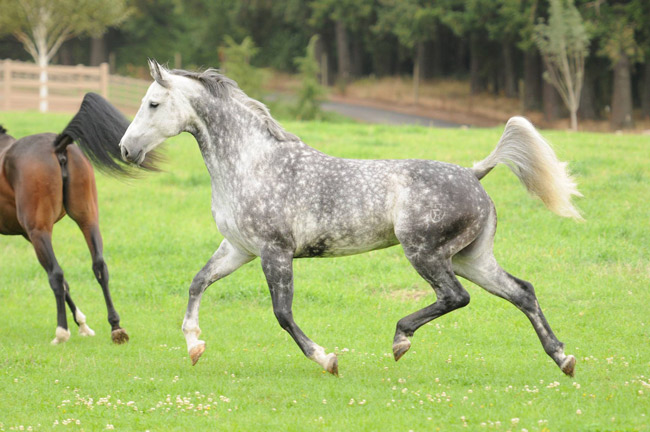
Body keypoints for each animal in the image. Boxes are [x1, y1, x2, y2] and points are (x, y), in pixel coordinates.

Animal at [1, 93, 157, 345]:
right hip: (87, 220)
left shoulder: (32, 233)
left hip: (40, 231)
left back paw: (61, 332)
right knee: (99, 266)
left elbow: (58, 278)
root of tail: (57, 145)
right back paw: (116, 327)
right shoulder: (26, 234)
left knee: (56, 274)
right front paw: (83, 323)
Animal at [119, 60, 582, 376]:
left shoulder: (274, 252)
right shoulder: (238, 248)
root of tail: (473, 173)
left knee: (456, 297)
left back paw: (400, 340)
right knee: (521, 292)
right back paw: (563, 357)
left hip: (426, 253)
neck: (252, 164)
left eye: (153, 103)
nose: (126, 149)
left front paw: (327, 359)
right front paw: (194, 345)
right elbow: (198, 281)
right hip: (470, 258)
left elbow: (282, 313)